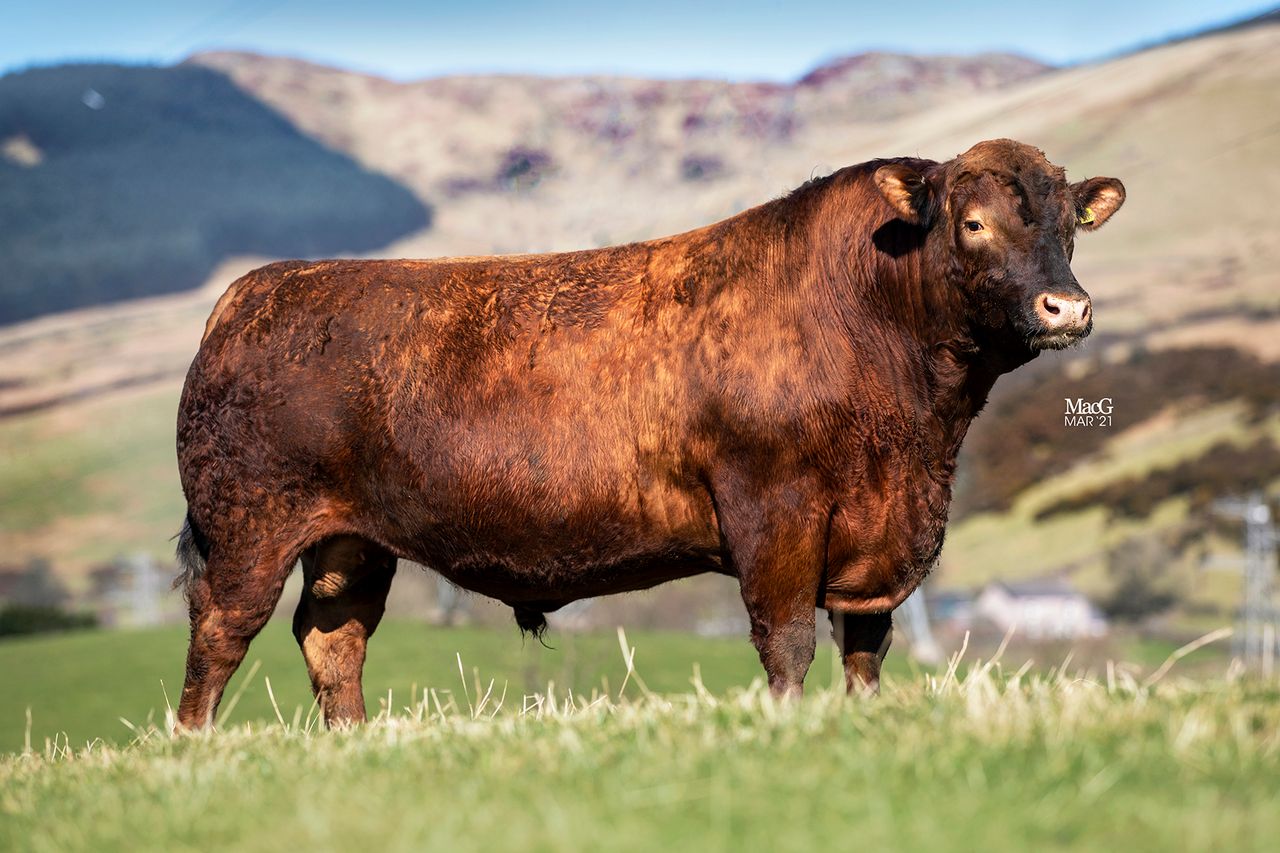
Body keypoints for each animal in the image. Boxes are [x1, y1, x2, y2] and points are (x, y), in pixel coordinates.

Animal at [174, 138, 1125, 728]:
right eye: (973, 223)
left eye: (1069, 227)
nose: (1067, 306)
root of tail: (256, 290)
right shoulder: (774, 508)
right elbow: (786, 640)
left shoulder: (879, 539)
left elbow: (866, 646)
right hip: (249, 526)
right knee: (220, 631)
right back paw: (192, 747)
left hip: (351, 544)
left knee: (333, 638)